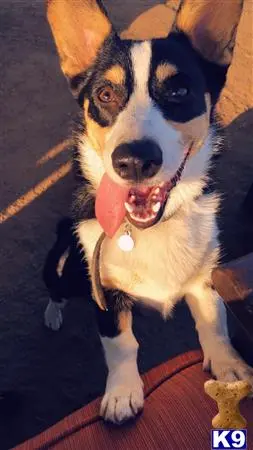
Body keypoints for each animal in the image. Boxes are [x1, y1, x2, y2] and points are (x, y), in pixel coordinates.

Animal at [44, 0, 253, 424]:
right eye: (105, 93)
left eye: (179, 90)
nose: (134, 161)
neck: (149, 228)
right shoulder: (104, 291)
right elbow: (122, 344)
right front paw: (122, 394)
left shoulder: (205, 278)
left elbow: (215, 323)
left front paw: (229, 367)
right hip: (61, 266)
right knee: (55, 289)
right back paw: (52, 314)